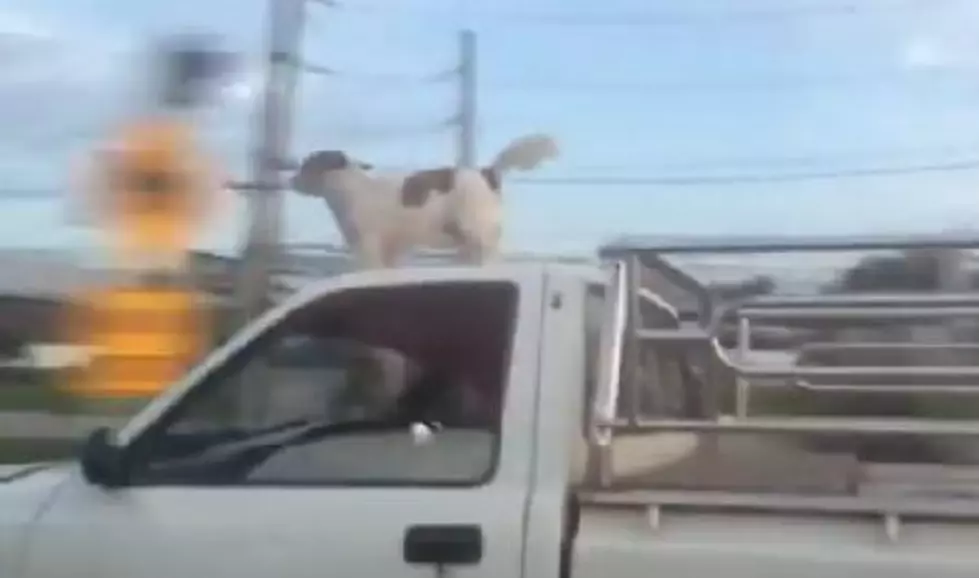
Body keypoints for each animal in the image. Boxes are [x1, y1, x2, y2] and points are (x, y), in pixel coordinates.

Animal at [290, 133, 560, 268]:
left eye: (306, 166)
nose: (290, 180)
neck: (351, 188)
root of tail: (487, 172)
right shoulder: (390, 251)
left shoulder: (369, 246)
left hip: (479, 234)